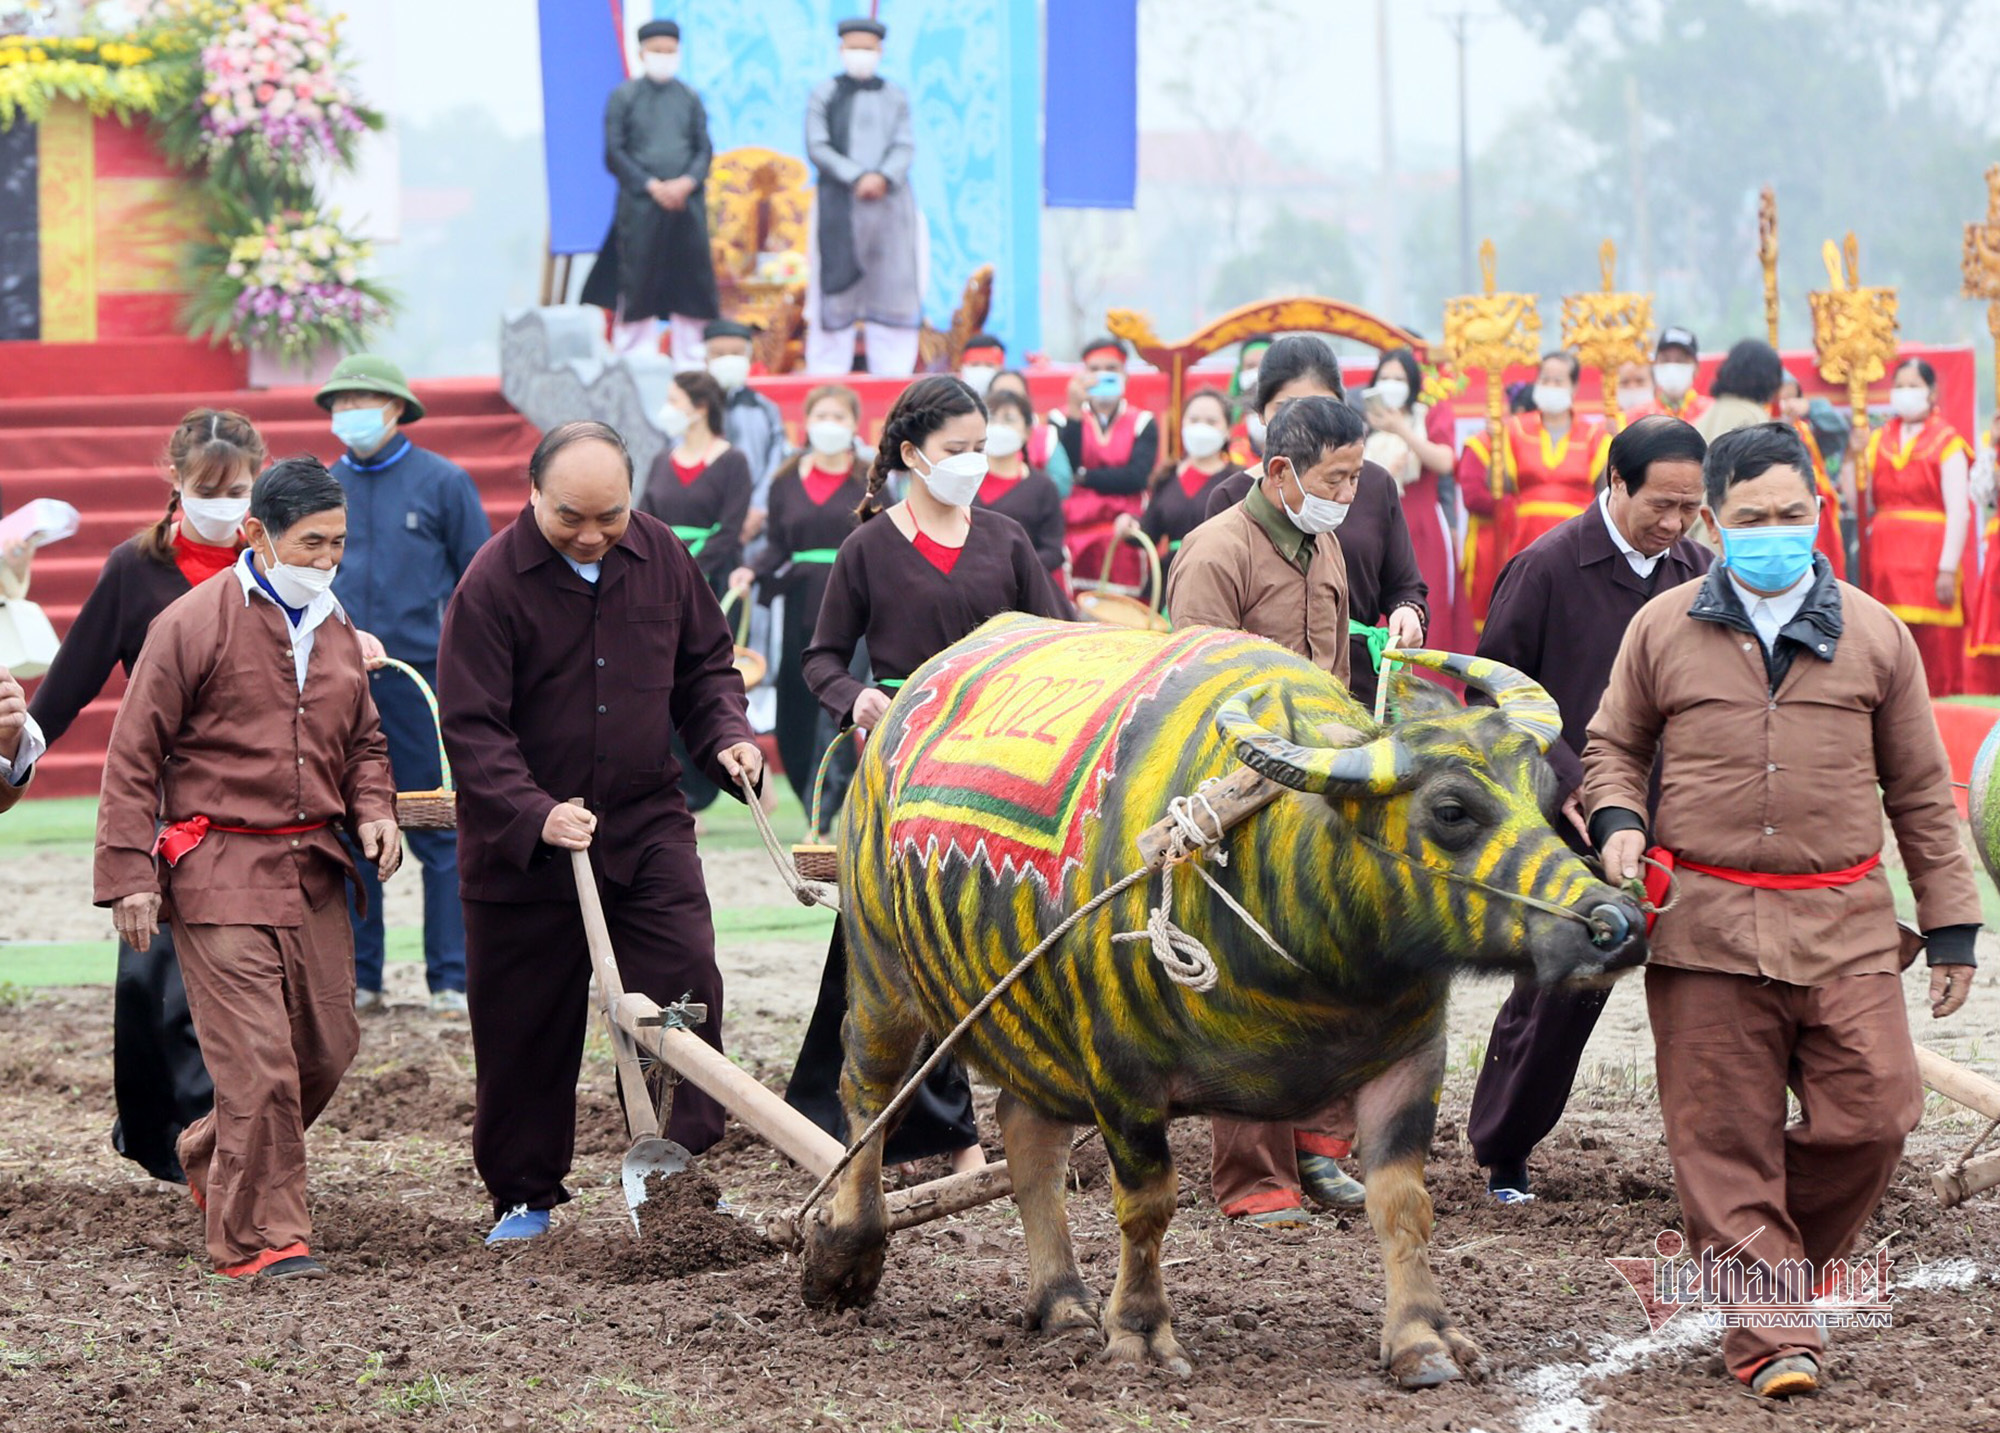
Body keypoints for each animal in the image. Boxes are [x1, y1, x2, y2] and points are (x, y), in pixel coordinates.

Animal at [796, 616, 1640, 1384]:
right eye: (1452, 809)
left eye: (1546, 796)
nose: (1616, 924)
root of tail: (887, 728)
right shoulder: (1120, 1071)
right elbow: (1147, 1206)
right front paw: (1140, 1333)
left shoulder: (1411, 1061)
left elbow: (1402, 1201)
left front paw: (1424, 1339)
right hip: (884, 972)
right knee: (866, 1097)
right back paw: (846, 1252)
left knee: (1027, 1136)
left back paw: (1062, 1300)